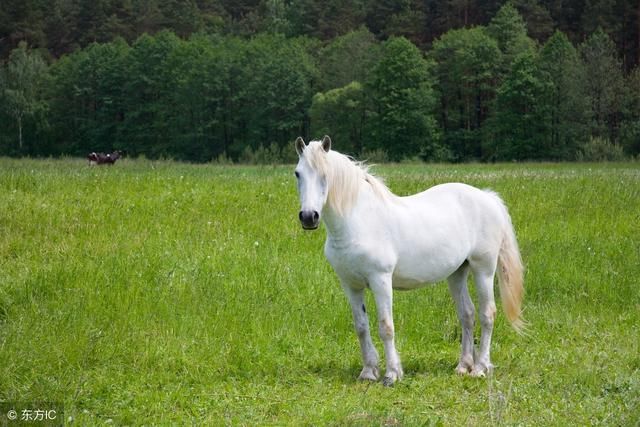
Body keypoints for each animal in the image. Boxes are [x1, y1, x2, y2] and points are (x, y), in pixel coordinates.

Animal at [296, 135, 524, 386]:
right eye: (298, 173)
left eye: (325, 174)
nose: (309, 217)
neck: (359, 221)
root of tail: (488, 197)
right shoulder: (351, 285)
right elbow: (361, 327)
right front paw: (368, 372)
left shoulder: (380, 280)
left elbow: (386, 326)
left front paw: (391, 374)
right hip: (457, 273)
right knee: (467, 314)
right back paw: (463, 366)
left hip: (483, 269)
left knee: (487, 314)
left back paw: (481, 368)